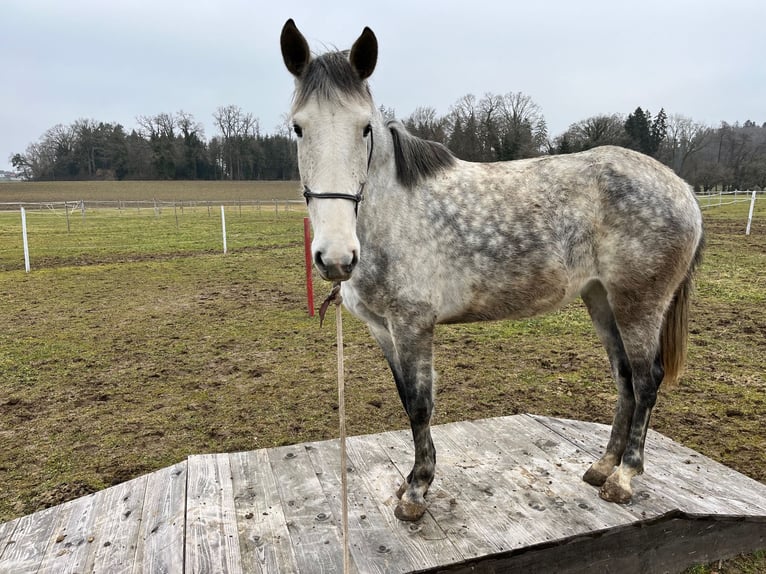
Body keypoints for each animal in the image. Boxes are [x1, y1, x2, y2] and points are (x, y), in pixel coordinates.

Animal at [280, 19, 704, 520]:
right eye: (298, 128)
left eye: (365, 128)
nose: (336, 257)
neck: (392, 213)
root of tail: (683, 189)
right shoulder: (382, 328)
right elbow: (406, 400)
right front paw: (411, 481)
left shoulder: (413, 323)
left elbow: (421, 405)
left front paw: (418, 490)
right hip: (601, 298)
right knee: (624, 377)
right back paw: (603, 467)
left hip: (639, 303)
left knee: (646, 379)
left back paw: (624, 477)